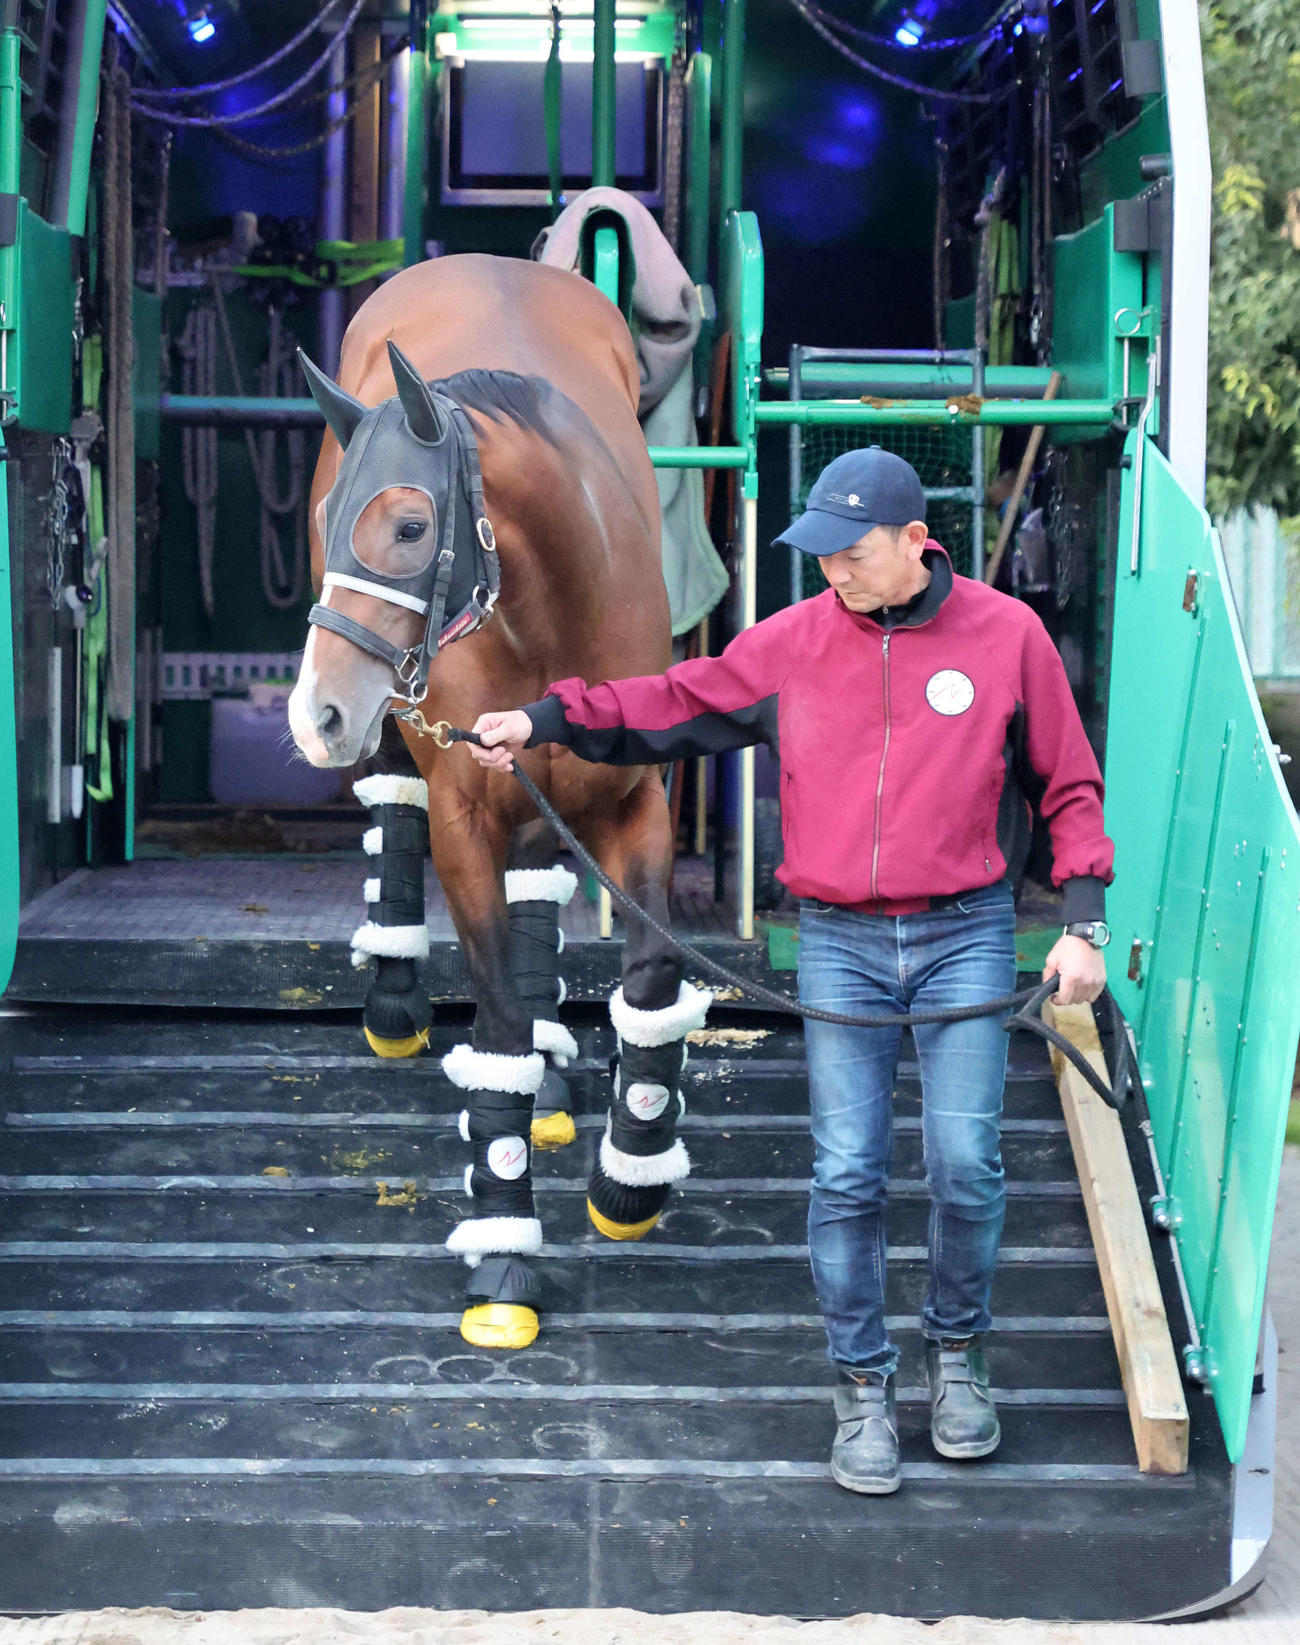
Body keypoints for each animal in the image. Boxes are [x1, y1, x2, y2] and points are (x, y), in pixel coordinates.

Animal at [287, 254, 711, 1350]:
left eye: (409, 523)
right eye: (325, 521)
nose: (317, 714)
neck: (546, 607)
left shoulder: (637, 800)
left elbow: (650, 978)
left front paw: (631, 1173)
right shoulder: (464, 816)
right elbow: (500, 1031)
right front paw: (503, 1253)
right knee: (394, 804)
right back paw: (398, 1003)